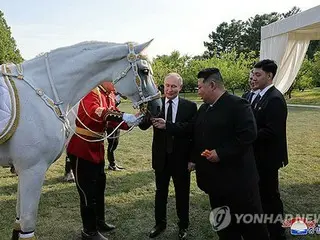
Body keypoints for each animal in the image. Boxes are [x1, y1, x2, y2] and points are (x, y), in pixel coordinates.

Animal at [0, 40, 160, 239]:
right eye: (144, 71)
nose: (158, 107)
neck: (44, 90)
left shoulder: (24, 169)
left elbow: (18, 220)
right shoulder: (32, 169)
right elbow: (27, 223)